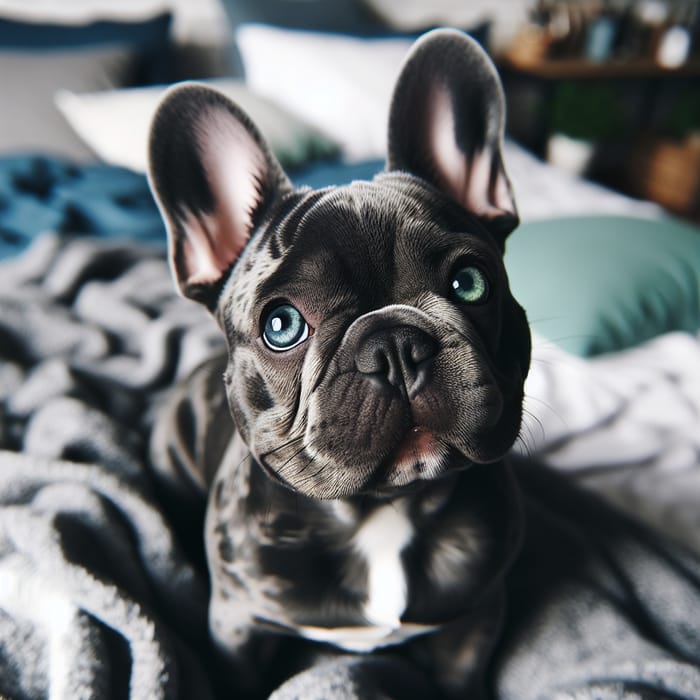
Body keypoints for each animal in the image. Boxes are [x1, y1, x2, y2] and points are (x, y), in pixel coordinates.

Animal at [149, 28, 532, 700]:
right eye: (281, 326)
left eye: (470, 283)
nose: (395, 345)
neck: (381, 510)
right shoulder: (238, 625)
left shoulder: (474, 622)